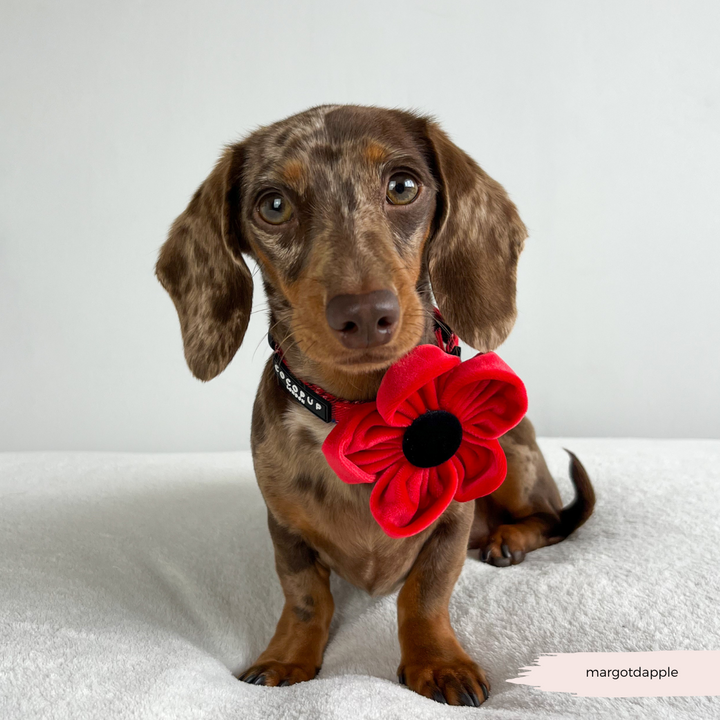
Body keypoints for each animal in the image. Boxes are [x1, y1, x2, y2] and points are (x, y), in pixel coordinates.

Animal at [155, 104, 592, 704]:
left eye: (403, 186)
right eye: (273, 205)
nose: (364, 314)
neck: (360, 409)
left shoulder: (453, 522)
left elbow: (425, 593)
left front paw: (438, 661)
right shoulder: (284, 528)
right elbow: (305, 596)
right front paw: (286, 656)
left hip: (513, 454)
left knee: (548, 518)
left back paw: (509, 539)